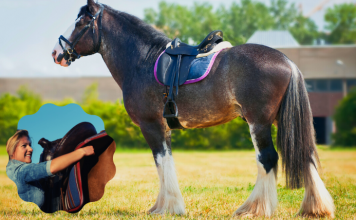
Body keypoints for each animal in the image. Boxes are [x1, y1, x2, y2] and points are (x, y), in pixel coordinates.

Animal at [51, 0, 336, 217]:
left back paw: (254, 209)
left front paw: (168, 208)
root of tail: (287, 61)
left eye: (81, 22)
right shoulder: (162, 127)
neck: (142, 61)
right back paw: (315, 208)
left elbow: (162, 162)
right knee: (305, 153)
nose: (56, 53)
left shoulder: (151, 125)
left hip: (259, 122)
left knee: (267, 159)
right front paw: (163, 206)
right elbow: (164, 162)